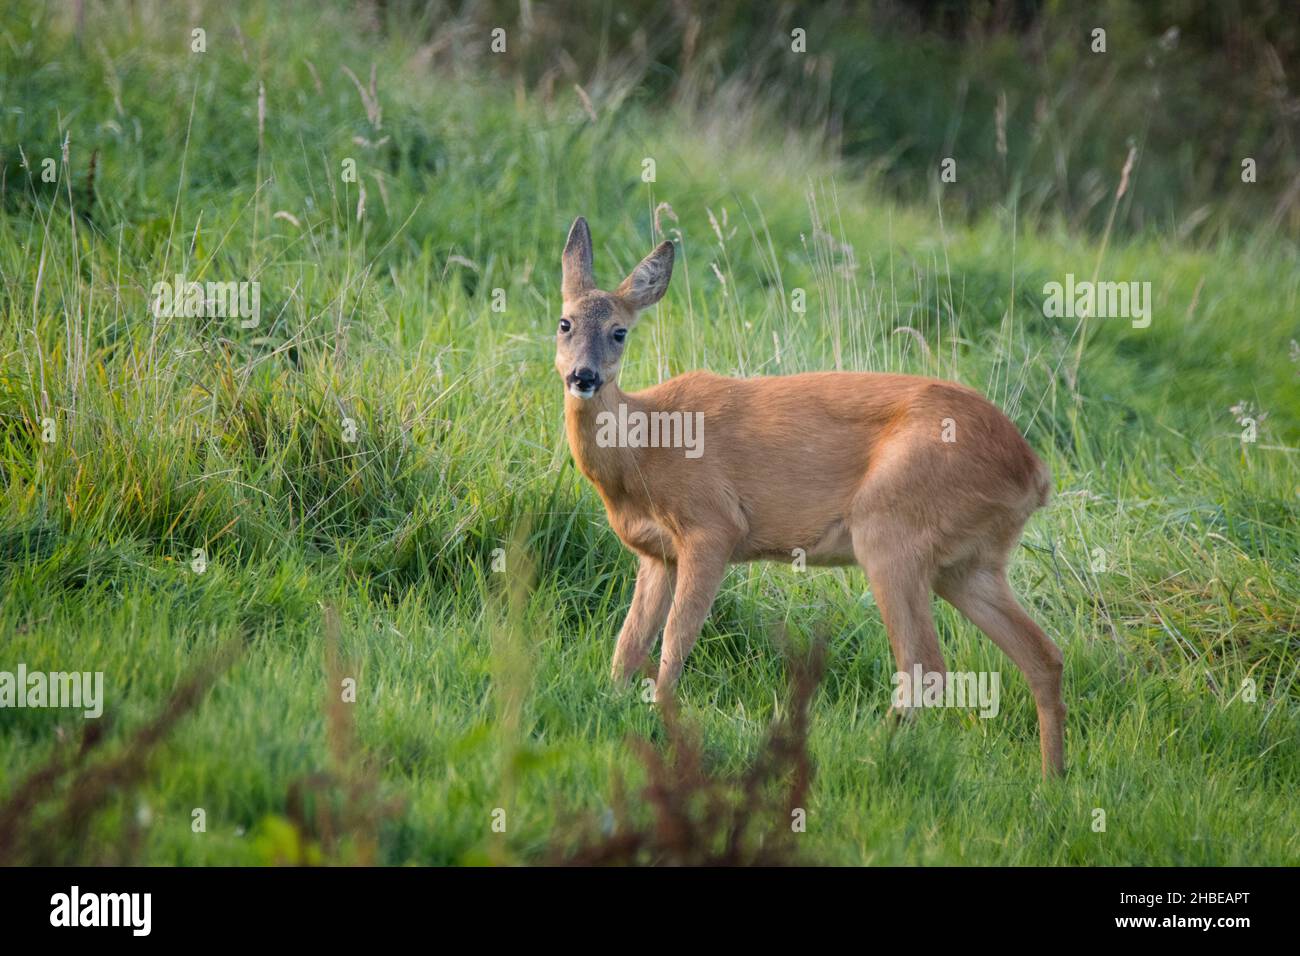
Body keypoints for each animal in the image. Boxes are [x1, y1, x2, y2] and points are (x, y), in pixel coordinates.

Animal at [555, 217, 1066, 777]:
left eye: (619, 331)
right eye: (565, 323)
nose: (583, 376)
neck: (643, 448)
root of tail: (1034, 471)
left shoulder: (713, 526)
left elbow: (674, 639)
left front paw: (663, 716)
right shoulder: (656, 554)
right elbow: (628, 644)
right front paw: (613, 702)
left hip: (891, 528)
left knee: (925, 665)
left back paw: (865, 754)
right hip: (969, 563)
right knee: (1042, 655)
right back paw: (1052, 780)